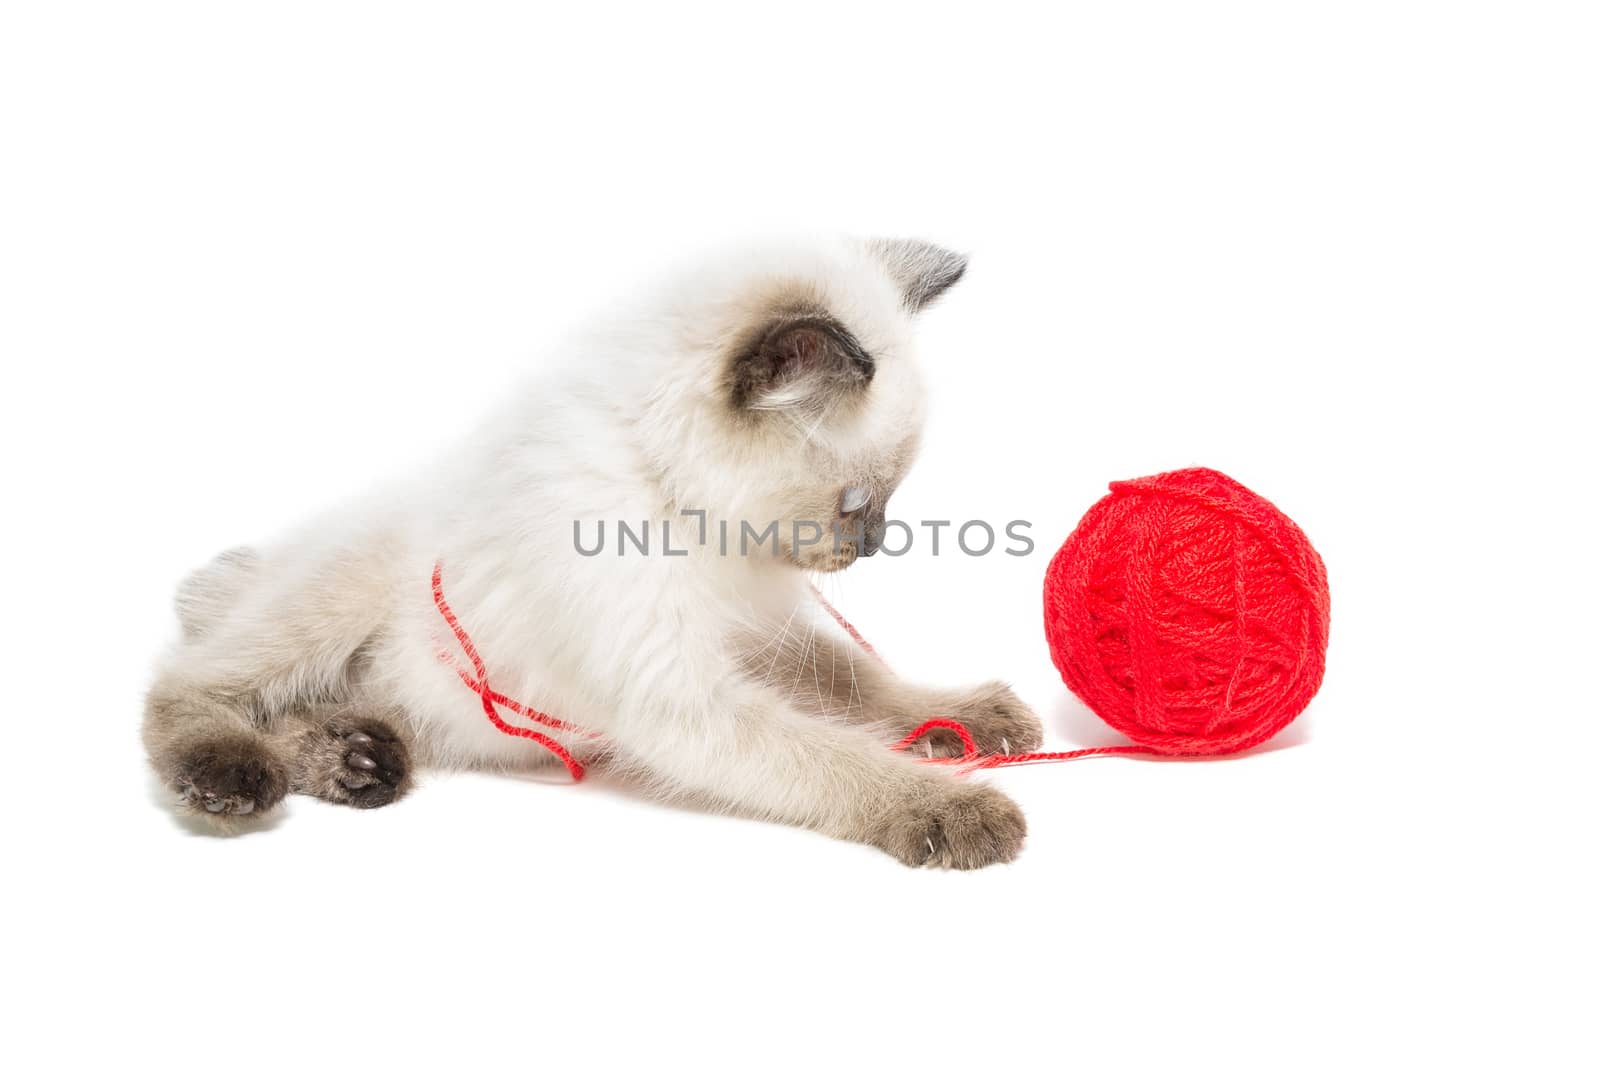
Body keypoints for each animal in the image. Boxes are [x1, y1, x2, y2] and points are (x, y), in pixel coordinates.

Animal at [147, 235, 1049, 870]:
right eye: (858, 503)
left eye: (886, 502)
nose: (874, 546)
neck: (684, 515)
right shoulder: (679, 691)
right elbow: (833, 755)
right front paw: (955, 807)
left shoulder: (756, 631)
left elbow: (862, 677)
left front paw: (969, 714)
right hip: (339, 592)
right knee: (185, 687)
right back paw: (237, 775)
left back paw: (358, 759)